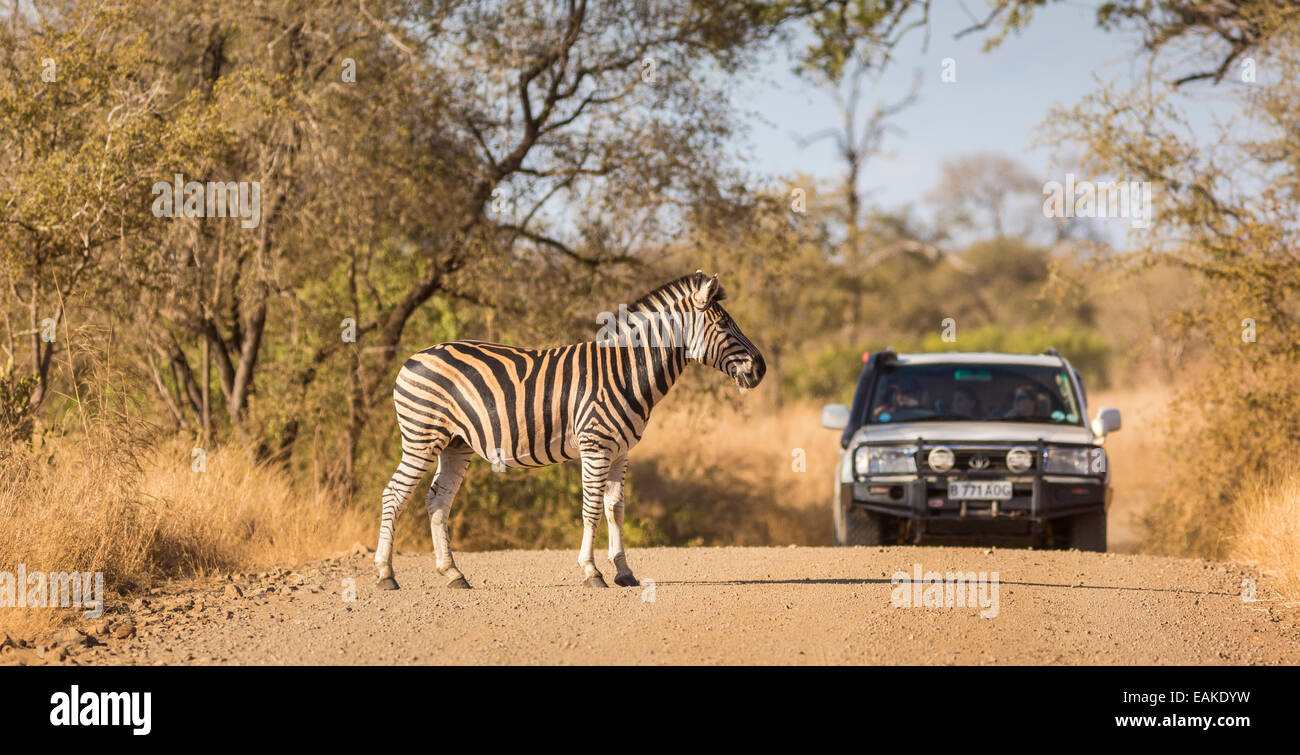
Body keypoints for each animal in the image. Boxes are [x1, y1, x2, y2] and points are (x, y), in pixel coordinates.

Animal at [374, 270, 759, 589]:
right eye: (725, 326)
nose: (762, 368)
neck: (625, 372)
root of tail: (413, 357)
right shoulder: (596, 446)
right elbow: (591, 509)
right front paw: (592, 572)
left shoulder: (621, 451)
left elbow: (615, 509)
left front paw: (624, 571)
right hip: (422, 438)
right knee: (393, 493)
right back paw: (386, 575)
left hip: (455, 444)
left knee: (438, 500)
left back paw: (453, 574)